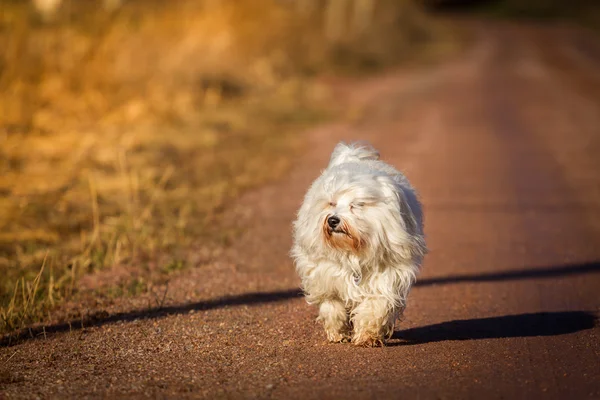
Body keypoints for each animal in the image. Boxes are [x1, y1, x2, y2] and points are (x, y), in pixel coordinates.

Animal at [292, 142, 426, 346]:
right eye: (331, 203)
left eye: (357, 205)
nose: (332, 220)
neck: (353, 251)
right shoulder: (325, 275)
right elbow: (332, 305)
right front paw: (338, 332)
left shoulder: (386, 276)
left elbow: (375, 306)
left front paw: (368, 336)